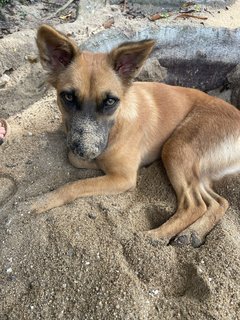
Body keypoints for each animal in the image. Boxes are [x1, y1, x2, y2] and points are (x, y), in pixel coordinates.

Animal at [34, 25, 240, 248]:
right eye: (68, 97)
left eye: (110, 101)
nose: (86, 150)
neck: (117, 124)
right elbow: (73, 157)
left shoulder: (124, 178)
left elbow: (74, 185)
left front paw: (45, 200)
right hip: (197, 169)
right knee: (218, 201)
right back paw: (193, 232)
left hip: (175, 148)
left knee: (194, 205)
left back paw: (156, 236)